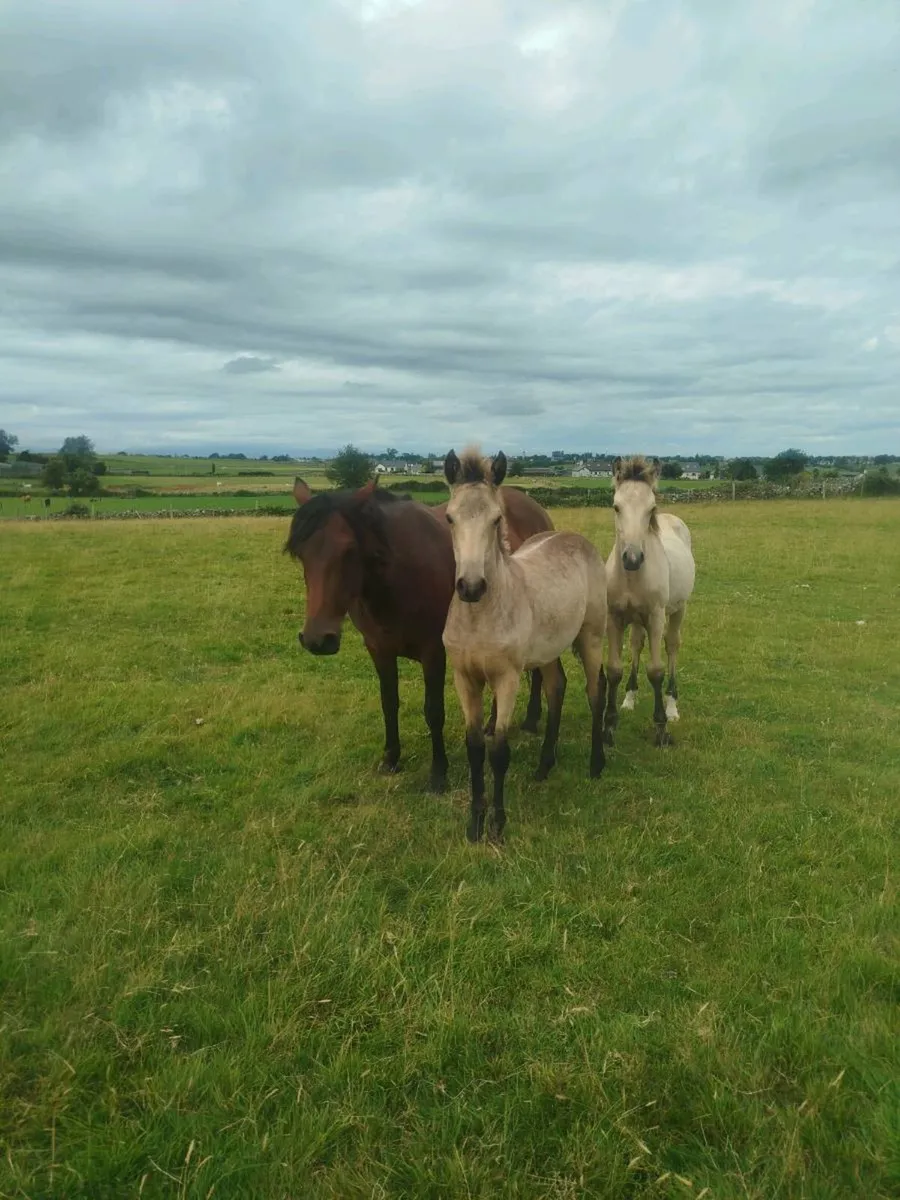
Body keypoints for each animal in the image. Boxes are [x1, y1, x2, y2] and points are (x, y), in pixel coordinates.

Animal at [285, 474, 553, 794]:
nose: (316, 639)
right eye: (300, 553)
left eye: (348, 550)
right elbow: (389, 703)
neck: (397, 576)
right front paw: (391, 758)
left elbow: (433, 711)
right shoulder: (379, 649)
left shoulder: (433, 652)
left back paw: (532, 718)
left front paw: (438, 773)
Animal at [442, 448, 608, 843]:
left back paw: (596, 764)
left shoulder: (508, 679)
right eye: (450, 517)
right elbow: (475, 747)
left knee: (596, 690)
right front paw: (474, 822)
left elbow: (499, 752)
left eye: (496, 519)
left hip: (591, 637)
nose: (471, 587)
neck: (480, 617)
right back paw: (544, 766)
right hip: (547, 651)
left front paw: (498, 825)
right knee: (556, 687)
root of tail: (576, 538)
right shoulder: (464, 678)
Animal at [603, 456, 696, 748]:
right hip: (636, 620)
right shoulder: (615, 618)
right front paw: (608, 727)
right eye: (616, 506)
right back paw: (629, 699)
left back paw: (672, 707)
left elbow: (655, 670)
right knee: (636, 644)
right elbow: (614, 669)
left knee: (672, 646)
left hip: (678, 610)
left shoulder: (655, 617)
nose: (632, 558)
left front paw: (661, 729)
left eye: (651, 508)